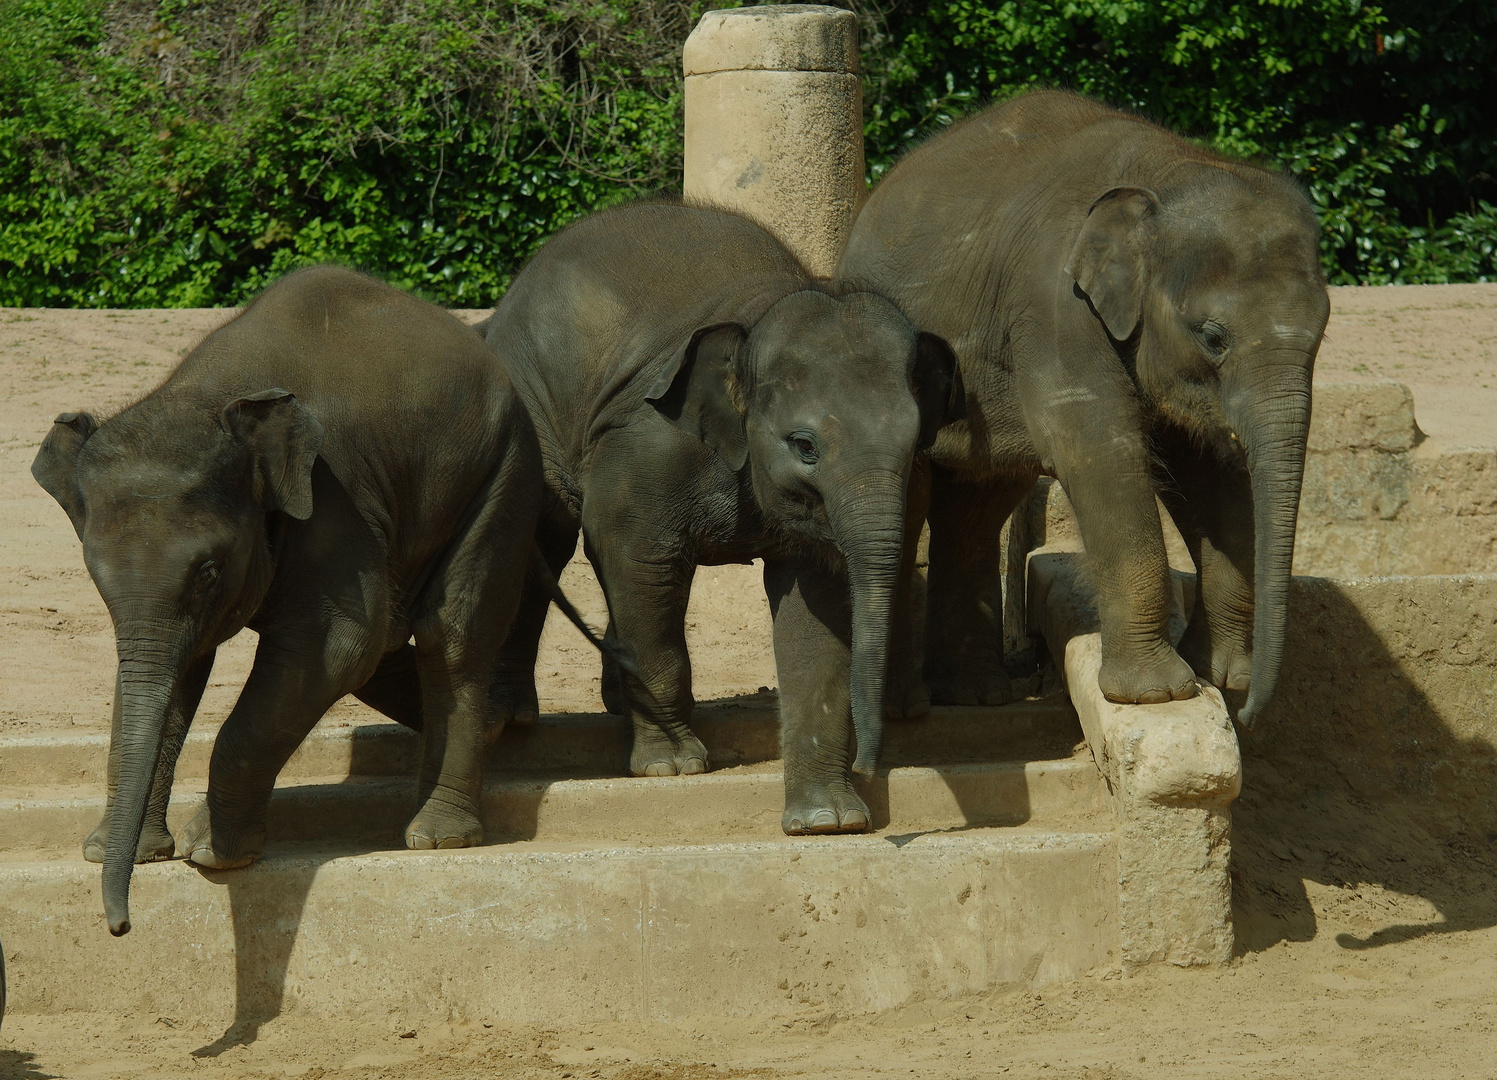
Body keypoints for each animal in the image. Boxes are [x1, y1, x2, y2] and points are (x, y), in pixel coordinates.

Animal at [29, 263, 604, 934]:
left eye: (208, 571)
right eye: (95, 573)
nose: (120, 925)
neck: (210, 396)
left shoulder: (333, 499)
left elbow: (340, 646)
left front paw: (211, 853)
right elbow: (180, 667)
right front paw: (120, 851)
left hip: (503, 471)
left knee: (450, 632)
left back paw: (438, 835)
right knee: (399, 641)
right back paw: (487, 732)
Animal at [485, 197, 964, 832]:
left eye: (914, 449)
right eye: (804, 445)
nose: (872, 763)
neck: (759, 315)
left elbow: (817, 608)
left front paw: (828, 819)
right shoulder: (648, 446)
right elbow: (636, 560)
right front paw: (672, 767)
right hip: (533, 411)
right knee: (544, 536)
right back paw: (514, 716)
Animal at [838, 88, 1329, 719]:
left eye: (1321, 331)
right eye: (1213, 336)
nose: (1248, 709)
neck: (1163, 171)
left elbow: (1209, 470)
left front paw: (1219, 674)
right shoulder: (1055, 308)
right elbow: (1101, 453)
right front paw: (1159, 693)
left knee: (976, 507)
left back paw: (975, 695)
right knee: (913, 505)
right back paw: (908, 709)